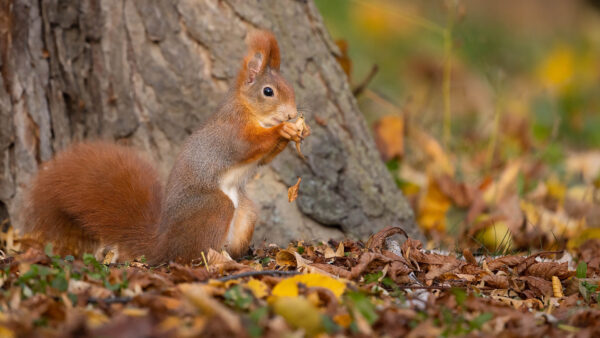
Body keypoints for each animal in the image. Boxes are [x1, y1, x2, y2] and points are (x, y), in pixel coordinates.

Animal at [22, 31, 310, 264]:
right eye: (268, 92)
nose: (291, 113)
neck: (250, 111)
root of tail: (162, 244)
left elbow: (263, 159)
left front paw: (292, 132)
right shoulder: (231, 133)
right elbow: (247, 146)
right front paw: (282, 130)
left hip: (246, 213)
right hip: (215, 207)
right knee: (194, 253)